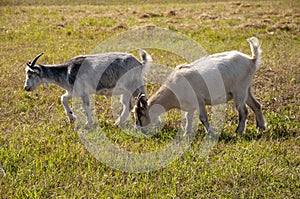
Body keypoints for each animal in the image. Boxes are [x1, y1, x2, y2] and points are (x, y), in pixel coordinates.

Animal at [24, 49, 152, 125]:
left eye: (30, 74)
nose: (26, 88)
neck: (67, 71)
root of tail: (139, 63)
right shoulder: (73, 91)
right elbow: (63, 98)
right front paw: (71, 117)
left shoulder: (83, 92)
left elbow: (85, 105)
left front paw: (88, 123)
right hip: (126, 91)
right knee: (128, 105)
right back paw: (118, 123)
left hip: (135, 86)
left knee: (143, 101)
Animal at [134, 36, 268, 134]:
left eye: (140, 115)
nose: (138, 130)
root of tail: (251, 60)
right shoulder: (189, 106)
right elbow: (188, 118)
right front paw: (186, 134)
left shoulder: (200, 101)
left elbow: (202, 118)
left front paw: (210, 133)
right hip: (247, 89)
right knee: (256, 105)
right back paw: (261, 127)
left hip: (239, 91)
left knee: (244, 111)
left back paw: (238, 132)